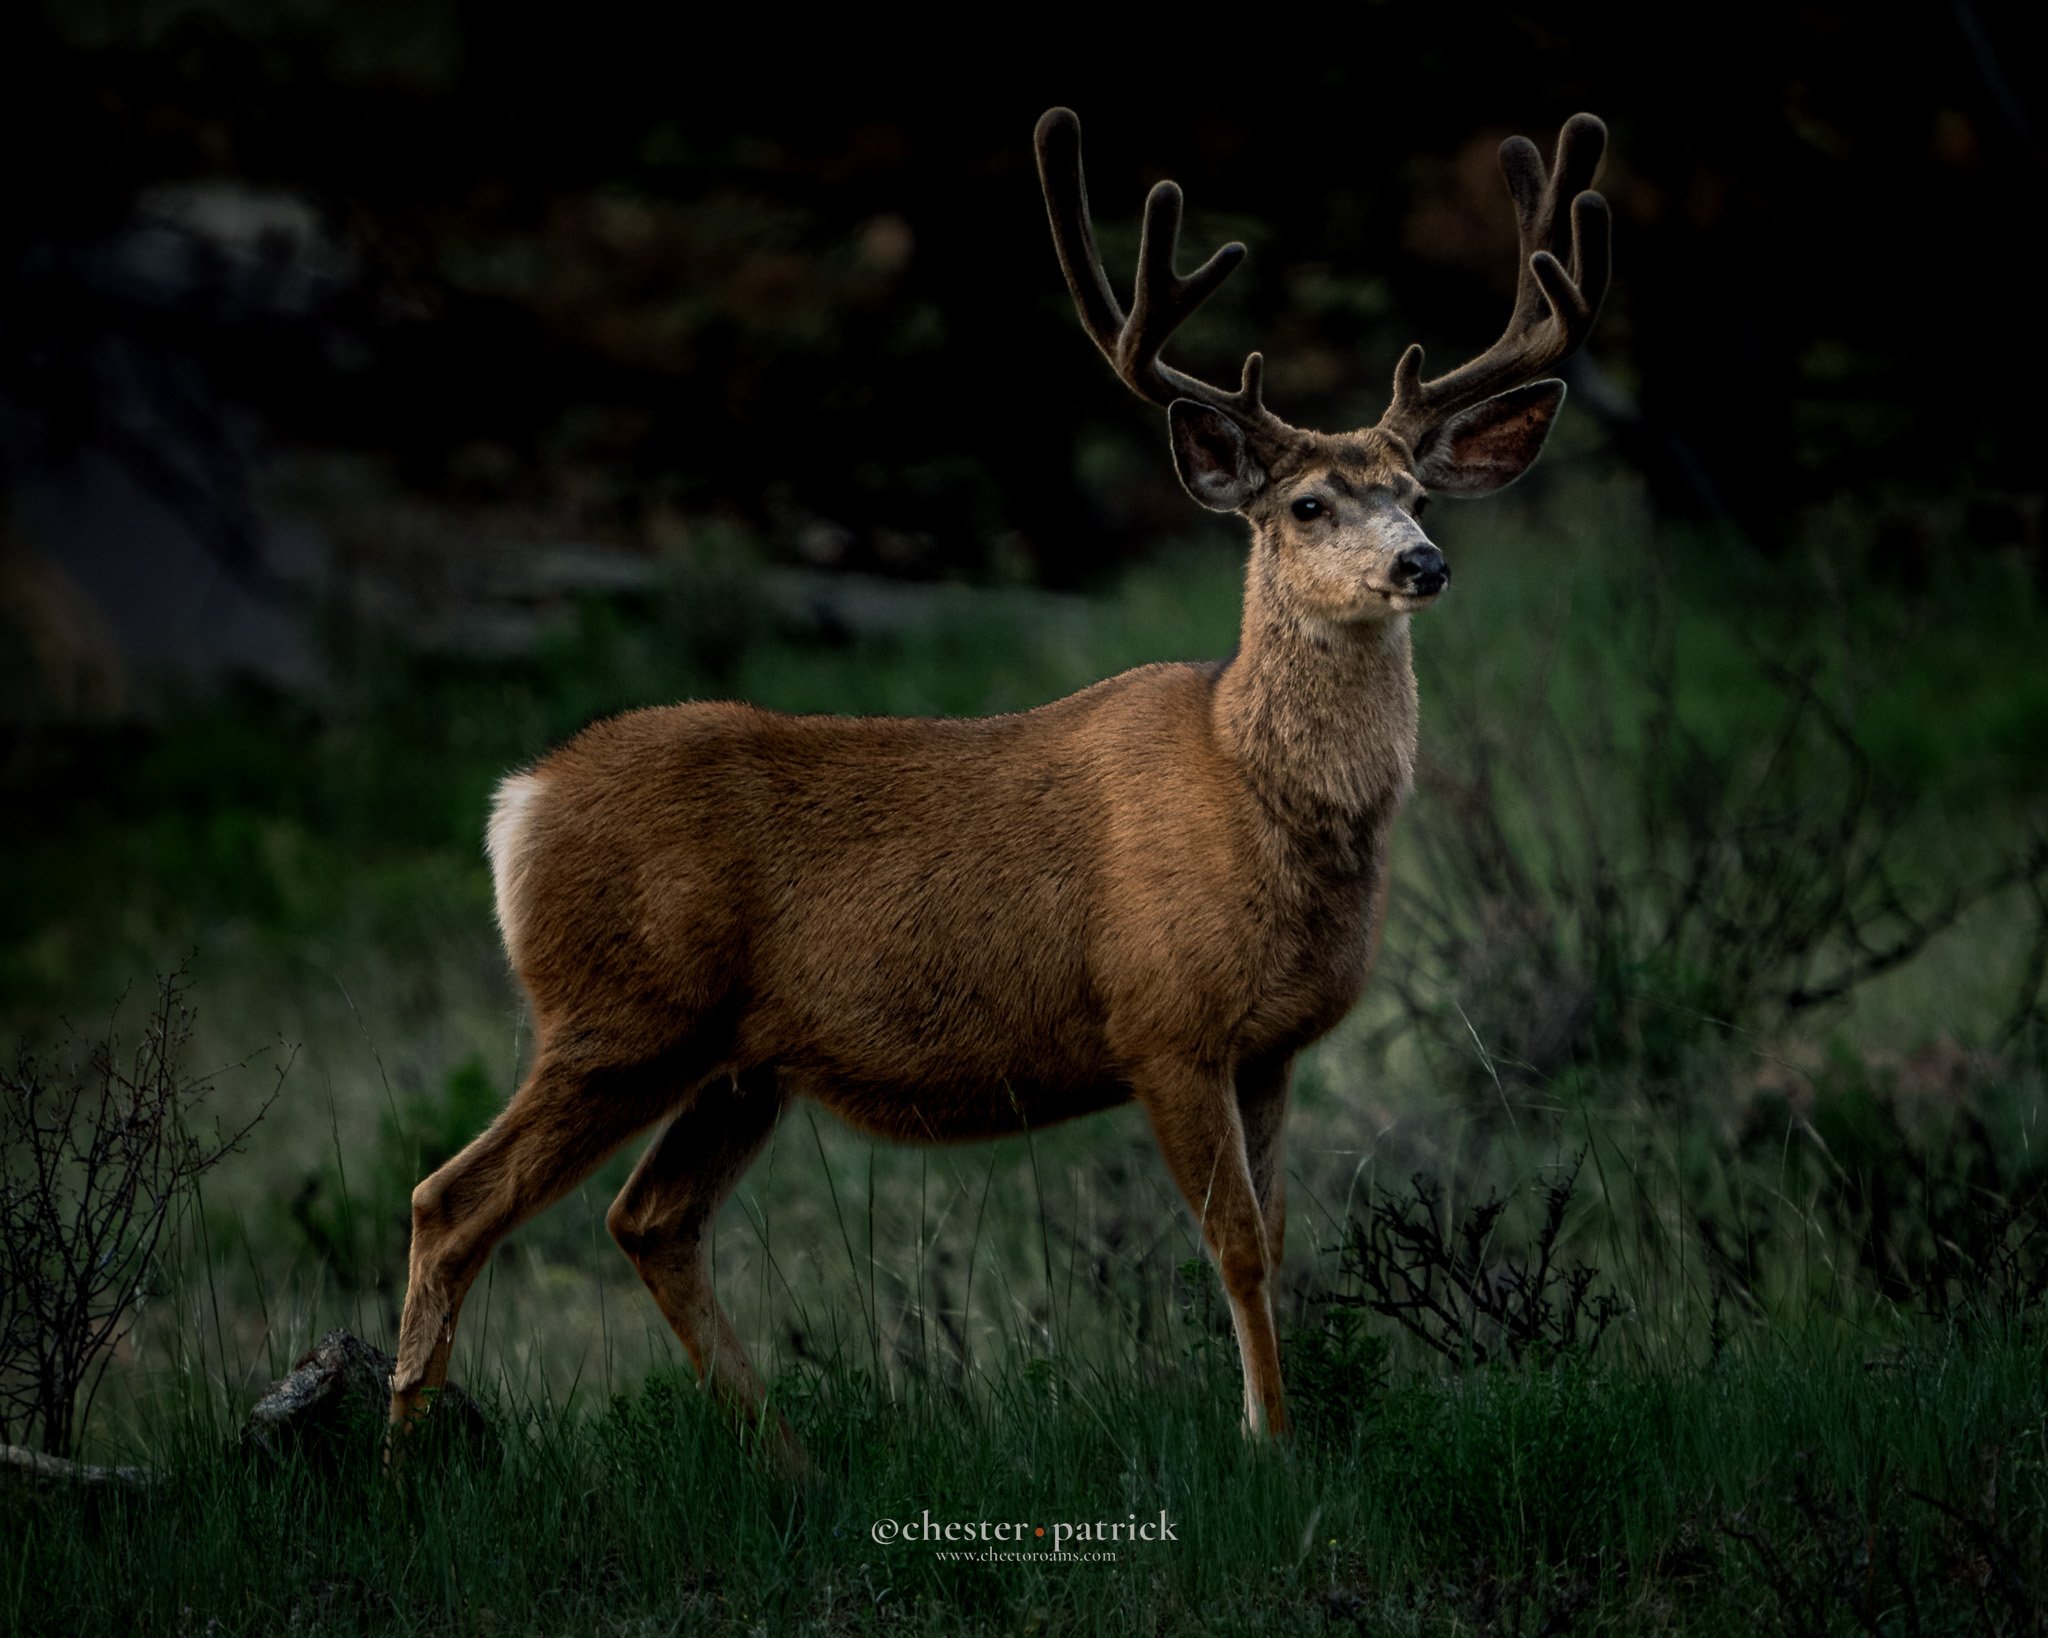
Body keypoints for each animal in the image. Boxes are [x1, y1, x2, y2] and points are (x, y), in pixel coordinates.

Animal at [387, 106, 1610, 1450]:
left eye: (1414, 490)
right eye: (1305, 503)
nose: (1421, 562)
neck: (1249, 795)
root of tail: (517, 804)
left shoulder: (1272, 1044)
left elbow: (1282, 1240)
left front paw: (1275, 1421)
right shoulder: (1164, 1022)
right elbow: (1234, 1246)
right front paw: (1267, 1442)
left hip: (737, 1062)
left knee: (647, 1219)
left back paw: (786, 1459)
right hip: (619, 1014)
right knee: (451, 1200)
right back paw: (404, 1459)